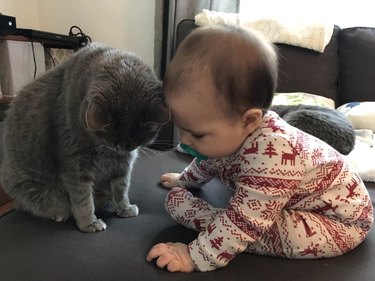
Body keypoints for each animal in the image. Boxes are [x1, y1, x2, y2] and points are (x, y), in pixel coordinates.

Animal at [0, 42, 170, 232]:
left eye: (137, 142)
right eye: (113, 141)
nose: (122, 149)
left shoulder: (123, 164)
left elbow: (121, 188)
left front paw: (124, 208)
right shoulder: (75, 165)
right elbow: (83, 200)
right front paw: (89, 223)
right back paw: (59, 214)